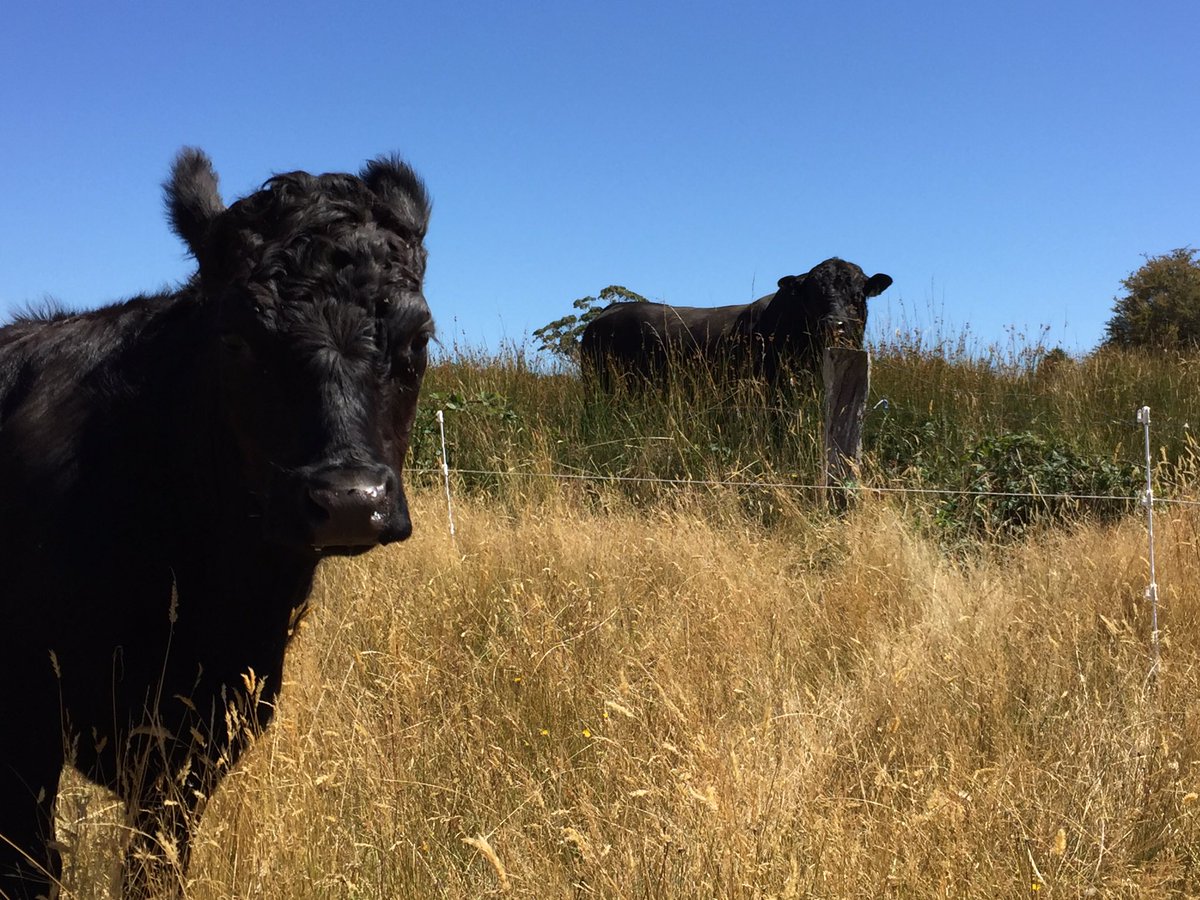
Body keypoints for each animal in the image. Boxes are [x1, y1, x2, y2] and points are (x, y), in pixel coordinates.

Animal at [0, 149, 434, 898]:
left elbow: (155, 865)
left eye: (418, 340)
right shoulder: (25, 716)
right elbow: (29, 866)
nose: (350, 498)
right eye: (236, 340)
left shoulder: (207, 730)